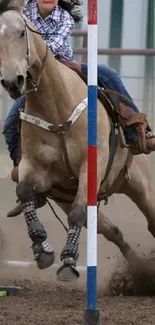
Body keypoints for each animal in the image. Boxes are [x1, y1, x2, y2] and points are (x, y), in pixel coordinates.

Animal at [0, 0, 155, 280]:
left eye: (21, 33)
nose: (12, 82)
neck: (57, 108)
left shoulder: (90, 167)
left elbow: (77, 213)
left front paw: (69, 262)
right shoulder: (35, 168)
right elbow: (24, 191)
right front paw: (42, 247)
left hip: (141, 184)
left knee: (151, 222)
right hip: (67, 197)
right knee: (113, 231)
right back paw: (139, 271)